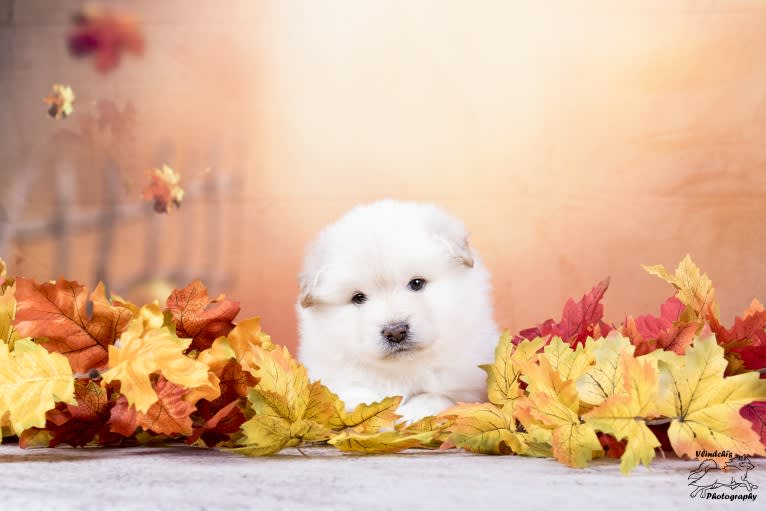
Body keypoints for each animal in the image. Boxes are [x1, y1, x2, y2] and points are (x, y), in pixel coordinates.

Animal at [296, 201, 500, 424]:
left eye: (417, 283)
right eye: (358, 298)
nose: (395, 332)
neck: (402, 368)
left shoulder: (470, 383)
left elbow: (438, 397)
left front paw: (408, 415)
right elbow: (351, 394)